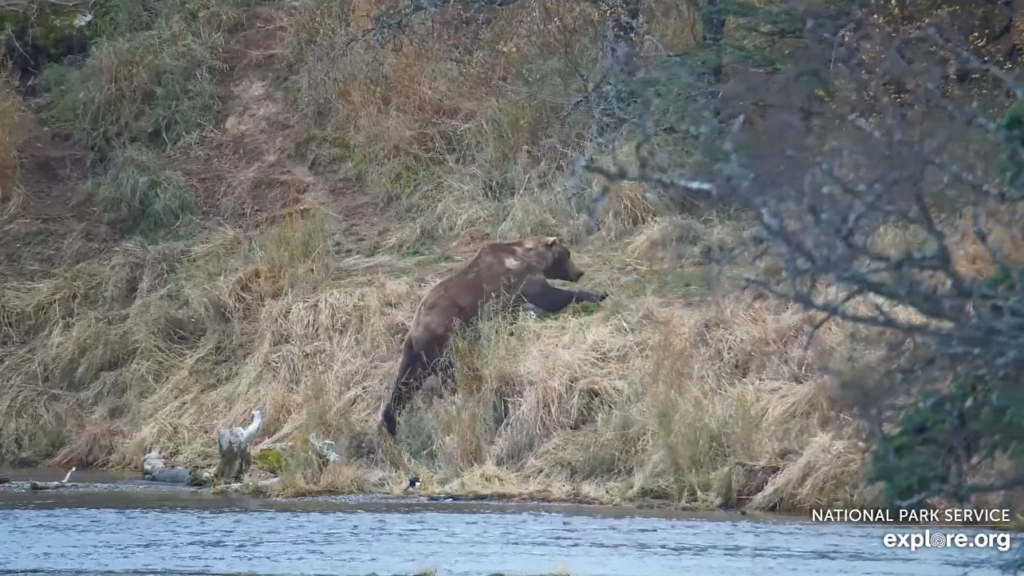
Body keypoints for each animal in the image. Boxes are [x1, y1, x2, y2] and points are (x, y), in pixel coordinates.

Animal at [382, 234, 606, 434]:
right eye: (567, 255)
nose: (579, 272)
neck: (531, 257)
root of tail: (413, 335)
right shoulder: (517, 280)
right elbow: (549, 296)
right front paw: (596, 294)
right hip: (444, 336)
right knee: (447, 369)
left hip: (418, 354)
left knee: (405, 383)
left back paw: (391, 421)